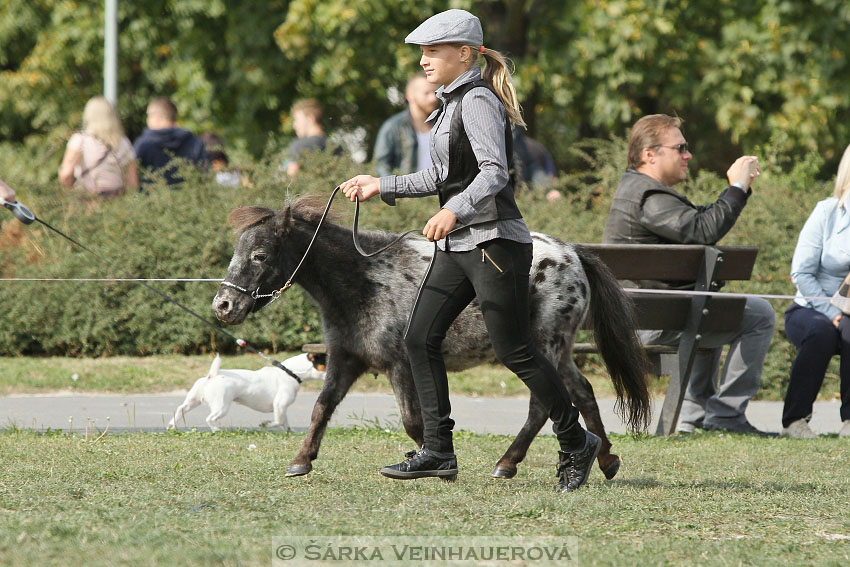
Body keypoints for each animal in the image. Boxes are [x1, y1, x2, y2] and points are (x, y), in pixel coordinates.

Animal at [168, 352, 324, 432]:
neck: (289, 372)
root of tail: (212, 376)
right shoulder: (279, 405)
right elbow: (278, 421)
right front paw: (266, 424)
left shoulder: (281, 408)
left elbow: (284, 422)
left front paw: (289, 432)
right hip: (221, 406)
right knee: (210, 418)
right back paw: (217, 431)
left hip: (193, 400)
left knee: (180, 409)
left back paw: (172, 426)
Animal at [214, 197, 648, 482]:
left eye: (260, 255)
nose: (223, 305)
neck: (364, 280)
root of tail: (572, 253)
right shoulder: (345, 358)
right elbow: (322, 407)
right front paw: (302, 460)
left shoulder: (401, 364)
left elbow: (412, 420)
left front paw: (437, 461)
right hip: (557, 349)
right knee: (582, 391)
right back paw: (604, 460)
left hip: (540, 345)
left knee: (544, 403)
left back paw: (510, 462)